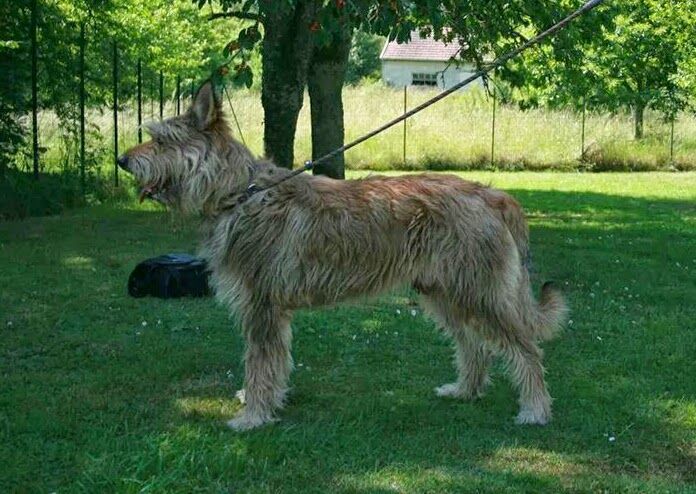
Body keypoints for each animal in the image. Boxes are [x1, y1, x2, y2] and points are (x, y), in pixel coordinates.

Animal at [118, 83, 564, 430]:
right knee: (474, 345)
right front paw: (266, 403)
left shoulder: (261, 305)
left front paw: (253, 416)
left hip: (480, 294)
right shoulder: (272, 312)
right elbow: (274, 364)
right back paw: (465, 390)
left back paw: (536, 410)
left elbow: (259, 363)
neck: (240, 194)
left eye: (161, 140)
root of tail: (492, 194)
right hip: (446, 293)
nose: (121, 160)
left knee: (525, 348)